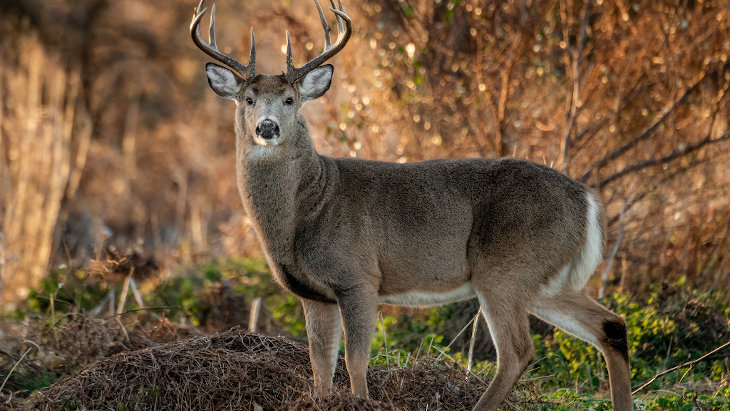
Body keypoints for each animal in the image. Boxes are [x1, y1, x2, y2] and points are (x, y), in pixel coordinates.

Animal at [189, 1, 633, 410]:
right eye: (248, 99)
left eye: (289, 99)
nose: (267, 128)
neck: (307, 210)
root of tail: (586, 199)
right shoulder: (313, 293)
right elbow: (320, 368)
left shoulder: (359, 276)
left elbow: (354, 361)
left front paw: (362, 402)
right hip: (545, 278)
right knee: (611, 326)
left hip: (506, 267)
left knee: (517, 352)